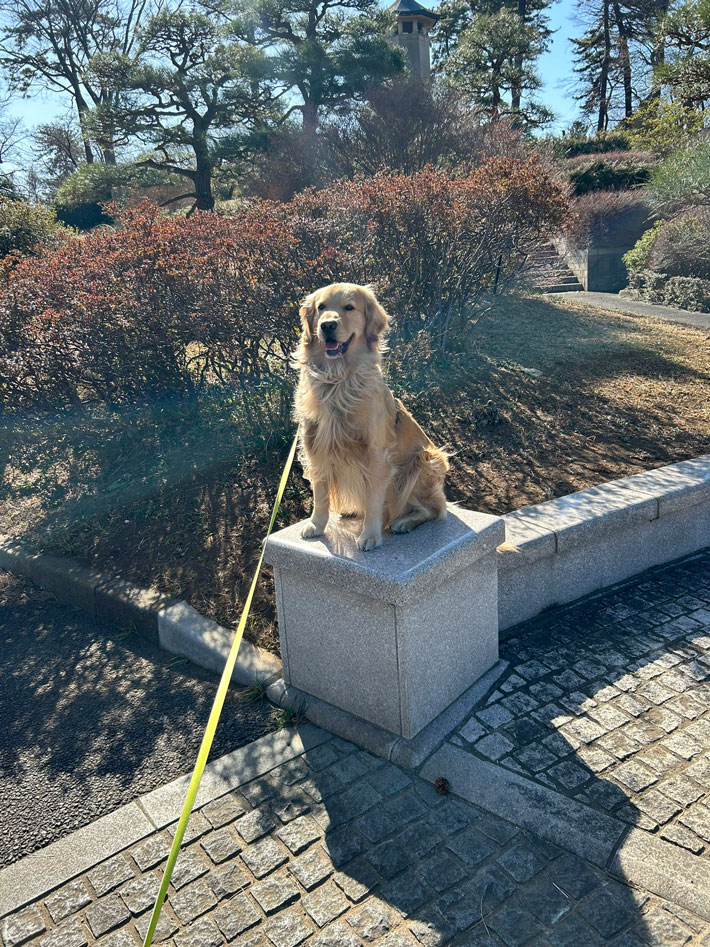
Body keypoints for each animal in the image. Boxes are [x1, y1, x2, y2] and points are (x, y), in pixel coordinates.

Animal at [294, 282, 450, 552]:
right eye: (321, 307)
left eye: (349, 307)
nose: (327, 325)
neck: (337, 380)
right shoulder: (316, 447)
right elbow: (320, 494)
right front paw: (316, 524)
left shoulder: (376, 455)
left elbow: (374, 500)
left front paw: (370, 534)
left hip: (425, 461)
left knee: (434, 509)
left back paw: (404, 522)